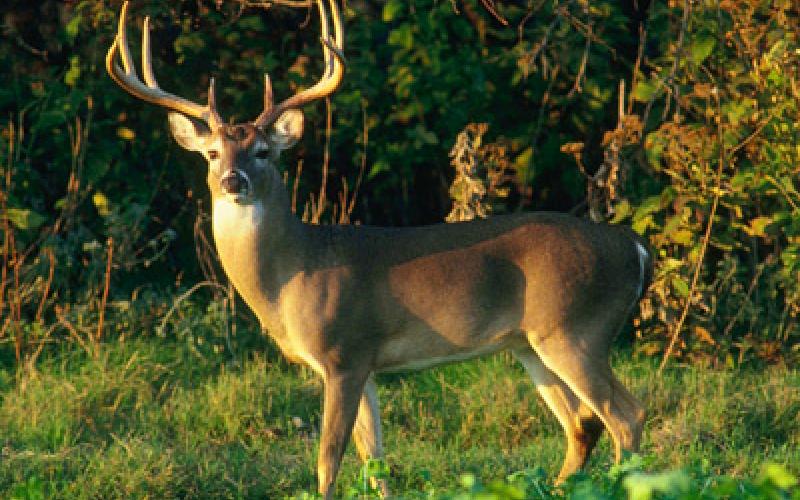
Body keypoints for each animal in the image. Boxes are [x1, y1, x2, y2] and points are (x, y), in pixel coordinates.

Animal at [107, 1, 652, 497]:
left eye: (263, 152)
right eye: (212, 152)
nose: (232, 180)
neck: (292, 273)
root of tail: (634, 247)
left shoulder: (343, 351)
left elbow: (328, 460)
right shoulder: (366, 362)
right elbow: (375, 461)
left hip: (577, 327)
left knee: (626, 415)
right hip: (529, 343)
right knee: (583, 425)